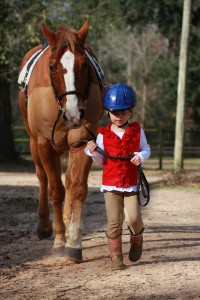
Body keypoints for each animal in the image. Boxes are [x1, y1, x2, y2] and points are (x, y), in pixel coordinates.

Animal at [18, 19, 104, 262]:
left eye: (84, 66)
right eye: (52, 67)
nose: (74, 114)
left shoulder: (83, 142)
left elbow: (77, 189)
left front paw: (73, 241)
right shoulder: (45, 145)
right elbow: (56, 190)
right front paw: (58, 239)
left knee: (69, 182)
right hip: (34, 143)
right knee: (42, 177)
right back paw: (45, 226)